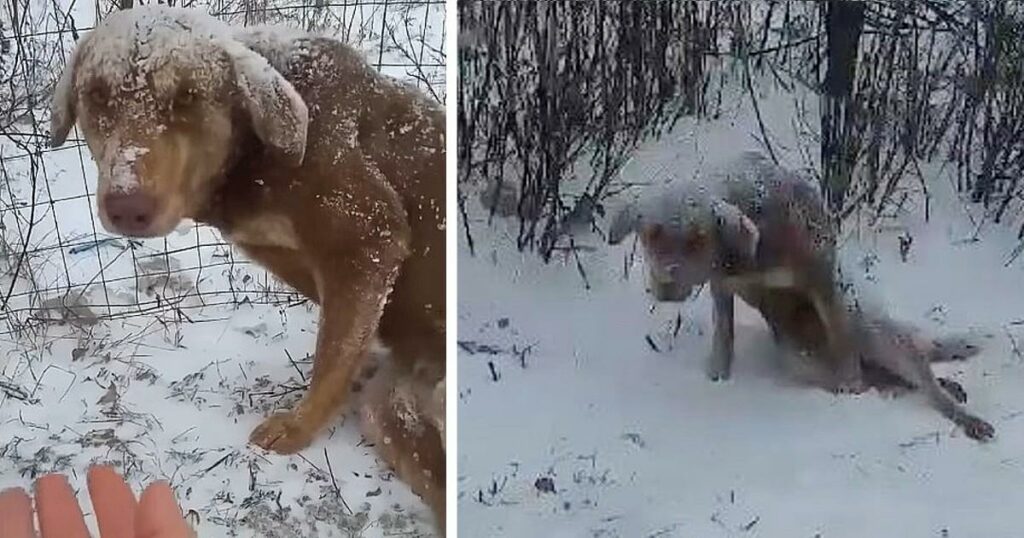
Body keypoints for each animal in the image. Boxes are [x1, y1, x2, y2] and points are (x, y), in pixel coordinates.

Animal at [50, 3, 444, 524]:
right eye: (96, 96)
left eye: (188, 97)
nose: (127, 206)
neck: (251, 157)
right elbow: (344, 342)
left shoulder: (368, 237)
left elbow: (332, 354)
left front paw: (299, 425)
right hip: (392, 409)